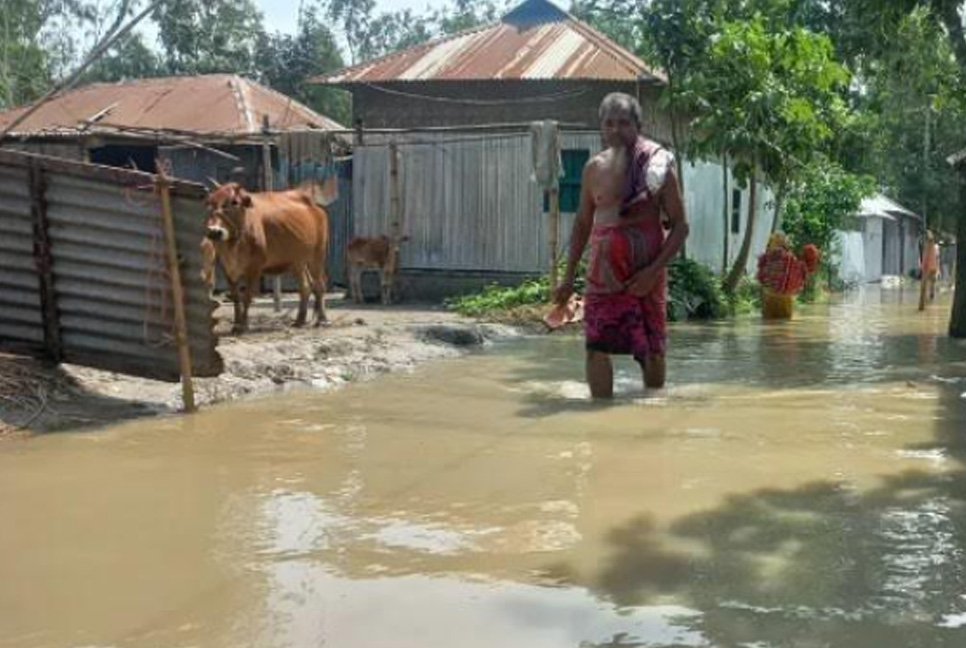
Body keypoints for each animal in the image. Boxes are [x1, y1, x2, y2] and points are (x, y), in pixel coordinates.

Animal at [203, 182, 328, 334]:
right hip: (297, 262)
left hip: (317, 255)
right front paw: (236, 325)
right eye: (210, 202)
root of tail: (315, 207)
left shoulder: (254, 268)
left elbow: (247, 296)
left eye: (234, 202)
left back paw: (322, 320)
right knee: (305, 286)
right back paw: (300, 320)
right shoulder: (227, 268)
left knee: (319, 285)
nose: (214, 231)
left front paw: (243, 326)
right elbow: (236, 297)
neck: (234, 244)